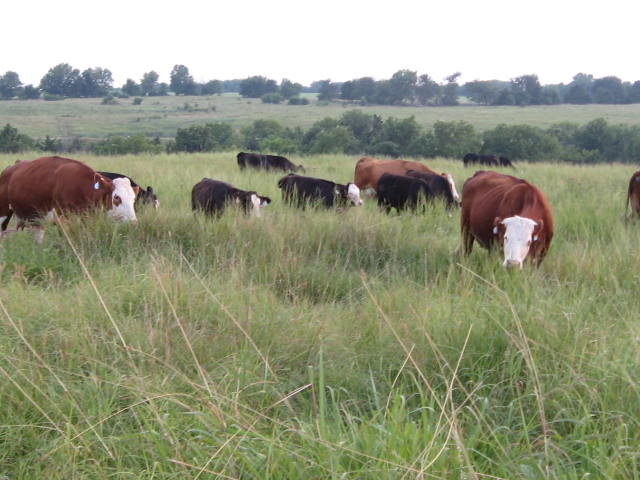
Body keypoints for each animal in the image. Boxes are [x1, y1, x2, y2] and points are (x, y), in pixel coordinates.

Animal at [0, 156, 138, 242]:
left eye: (133, 199)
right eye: (117, 197)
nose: (133, 222)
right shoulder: (62, 220)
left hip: (38, 221)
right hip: (3, 214)